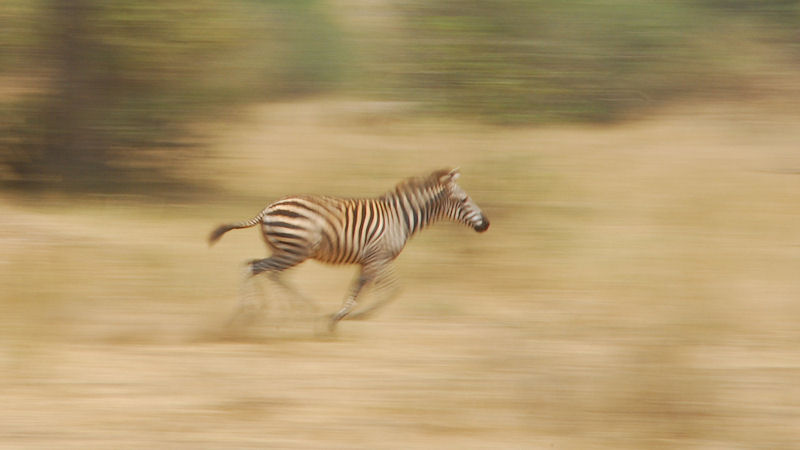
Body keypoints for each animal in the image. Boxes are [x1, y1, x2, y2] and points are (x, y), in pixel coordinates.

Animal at [208, 168, 489, 331]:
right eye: (464, 200)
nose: (486, 224)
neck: (401, 218)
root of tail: (267, 209)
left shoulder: (373, 259)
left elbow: (369, 289)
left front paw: (343, 315)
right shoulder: (379, 257)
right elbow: (382, 290)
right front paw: (348, 316)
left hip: (286, 249)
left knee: (264, 270)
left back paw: (281, 310)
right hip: (295, 250)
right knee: (257, 268)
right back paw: (253, 312)